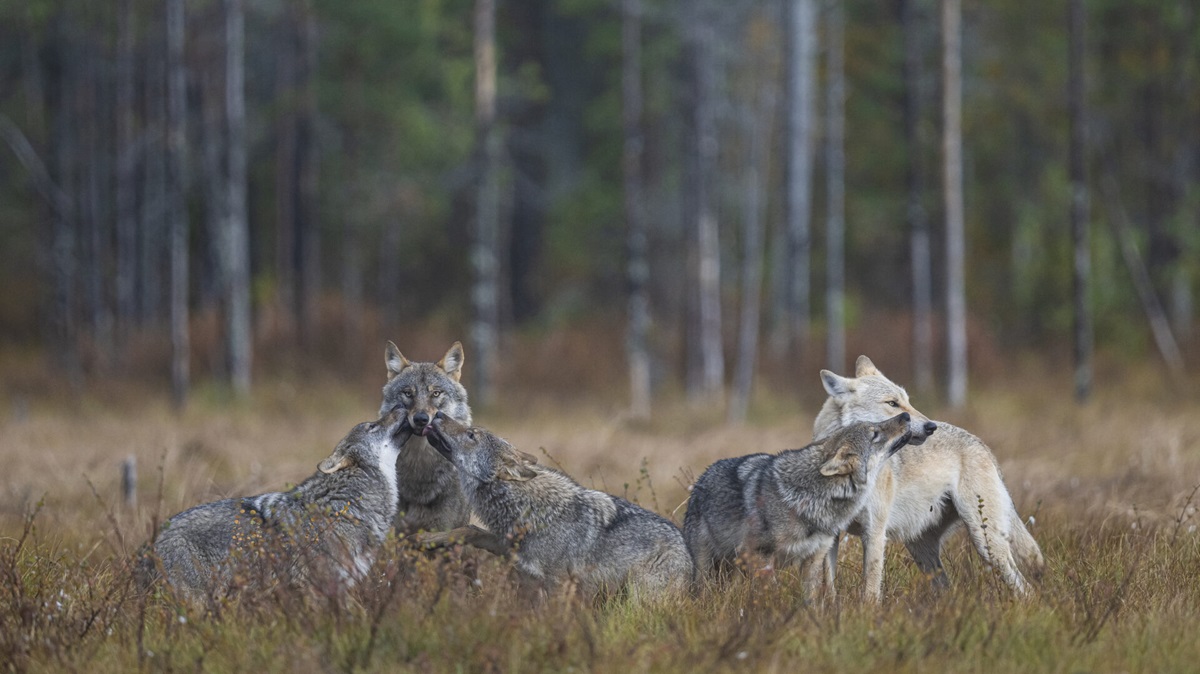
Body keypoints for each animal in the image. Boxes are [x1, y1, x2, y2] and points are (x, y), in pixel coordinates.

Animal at [424, 412, 696, 594]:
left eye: (471, 434)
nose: (437, 413)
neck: (528, 510)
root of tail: (689, 555)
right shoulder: (508, 548)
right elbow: (468, 529)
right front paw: (426, 539)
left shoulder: (558, 582)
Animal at [811, 354, 1046, 594]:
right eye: (892, 403)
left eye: (907, 401)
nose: (930, 426)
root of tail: (982, 444)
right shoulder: (830, 535)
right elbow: (828, 587)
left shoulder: (874, 534)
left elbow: (870, 592)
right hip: (922, 550)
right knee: (947, 588)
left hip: (985, 543)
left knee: (1025, 588)